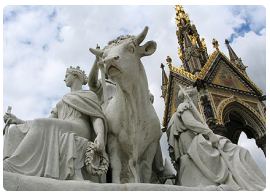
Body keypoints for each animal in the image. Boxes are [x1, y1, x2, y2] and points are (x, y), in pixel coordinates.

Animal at [88, 26, 161, 183]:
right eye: (104, 54)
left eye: (131, 48)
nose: (109, 60)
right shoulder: (113, 139)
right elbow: (116, 165)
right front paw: (116, 183)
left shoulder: (152, 145)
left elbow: (146, 168)